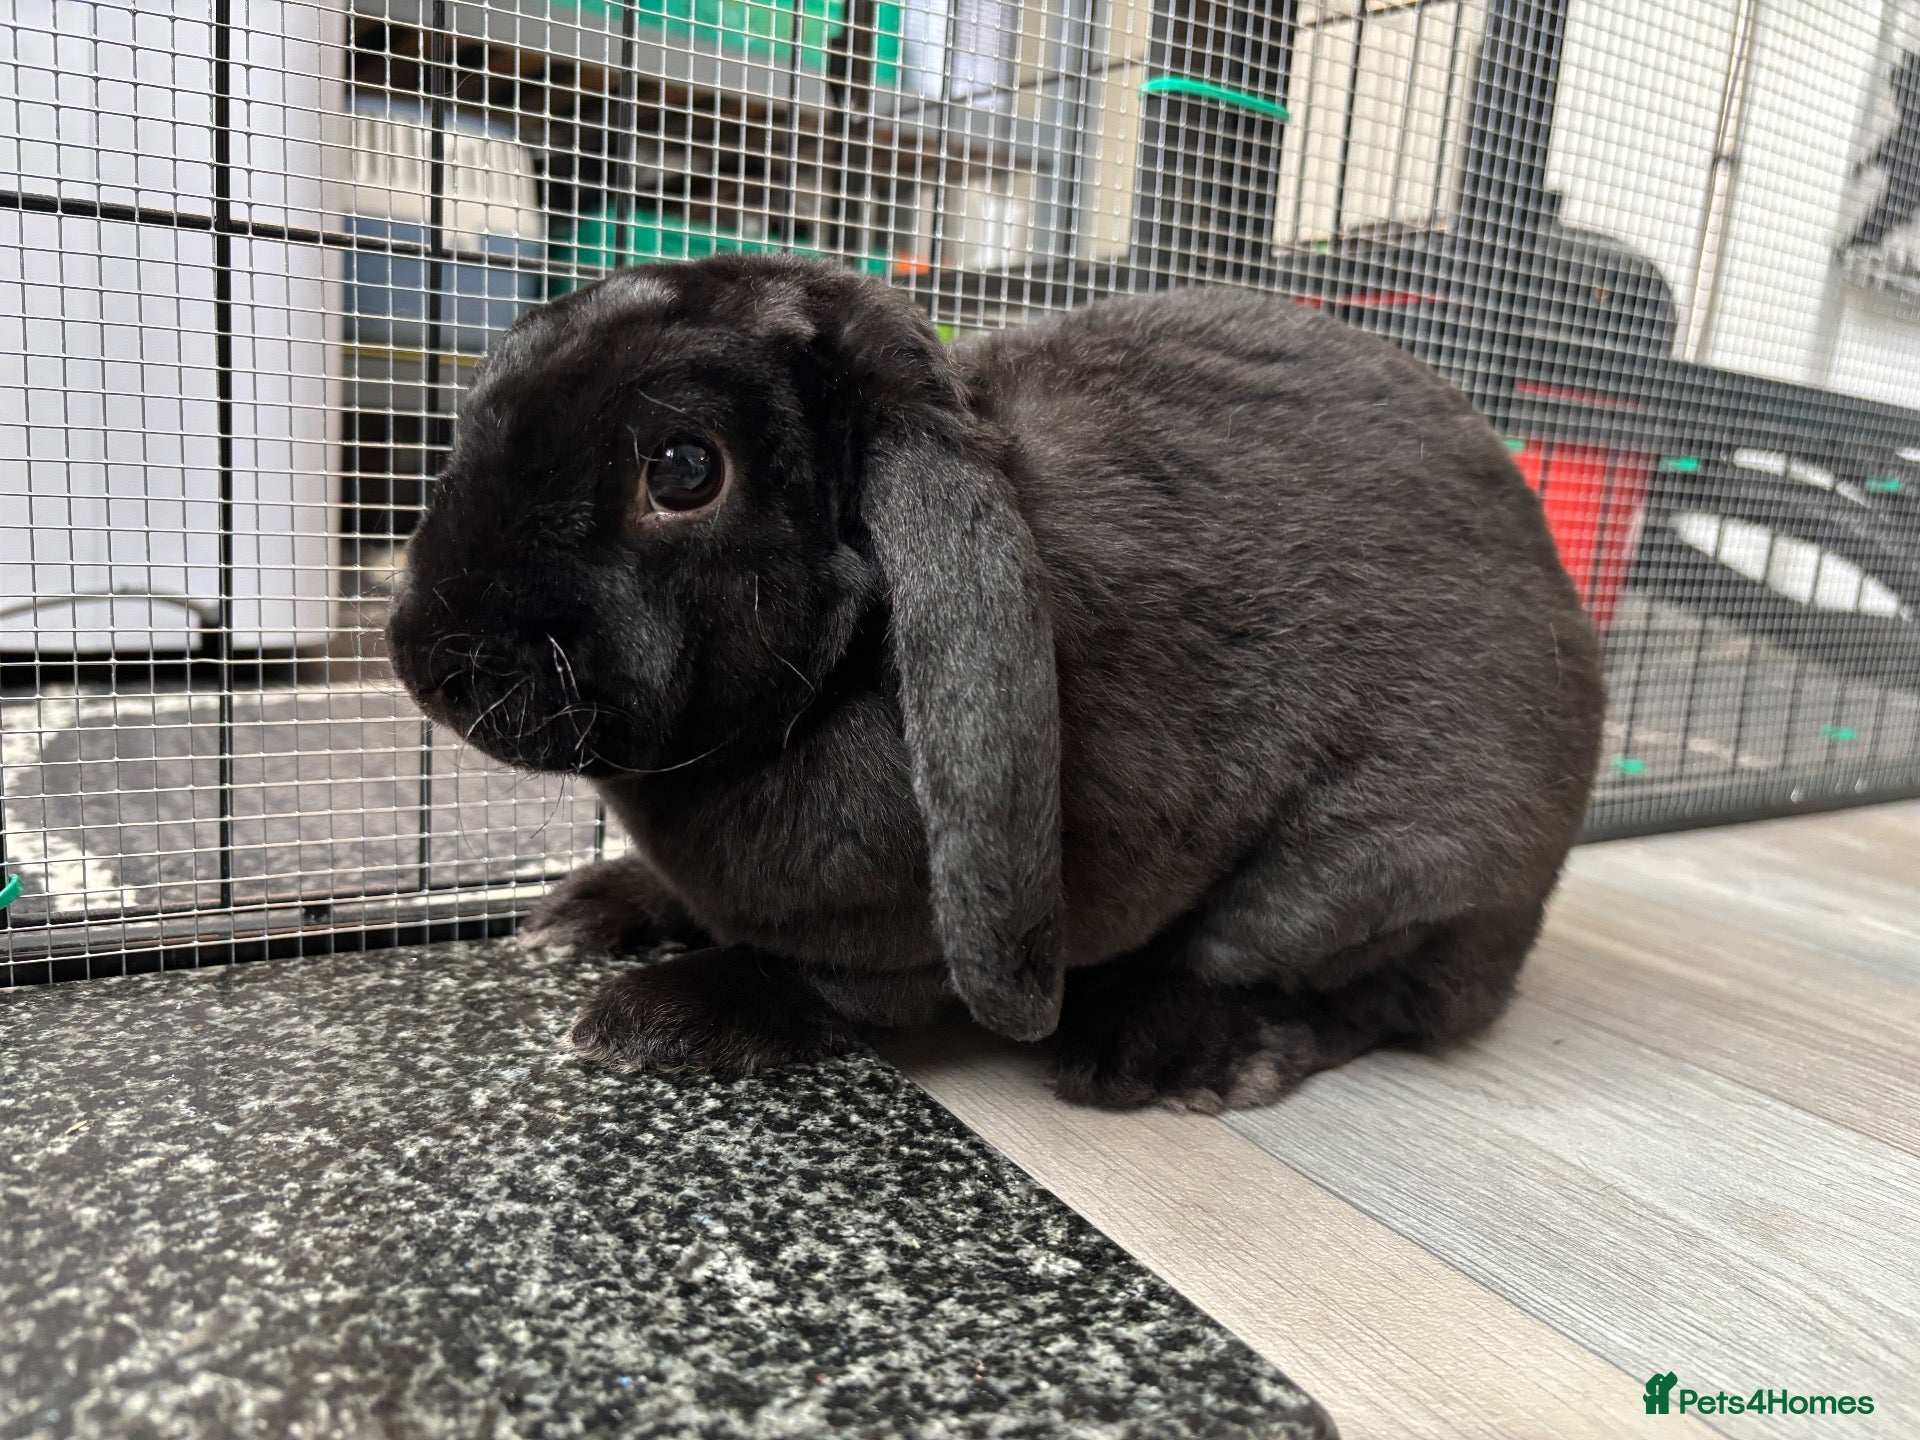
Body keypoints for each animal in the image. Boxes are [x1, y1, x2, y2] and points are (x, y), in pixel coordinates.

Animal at [385, 252, 1605, 1111]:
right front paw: (586, 911)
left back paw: (1168, 1053)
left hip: (1375, 877)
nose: (424, 661)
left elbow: (828, 980)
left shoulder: (904, 937)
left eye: (684, 470)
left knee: (1368, 993)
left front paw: (662, 1013)